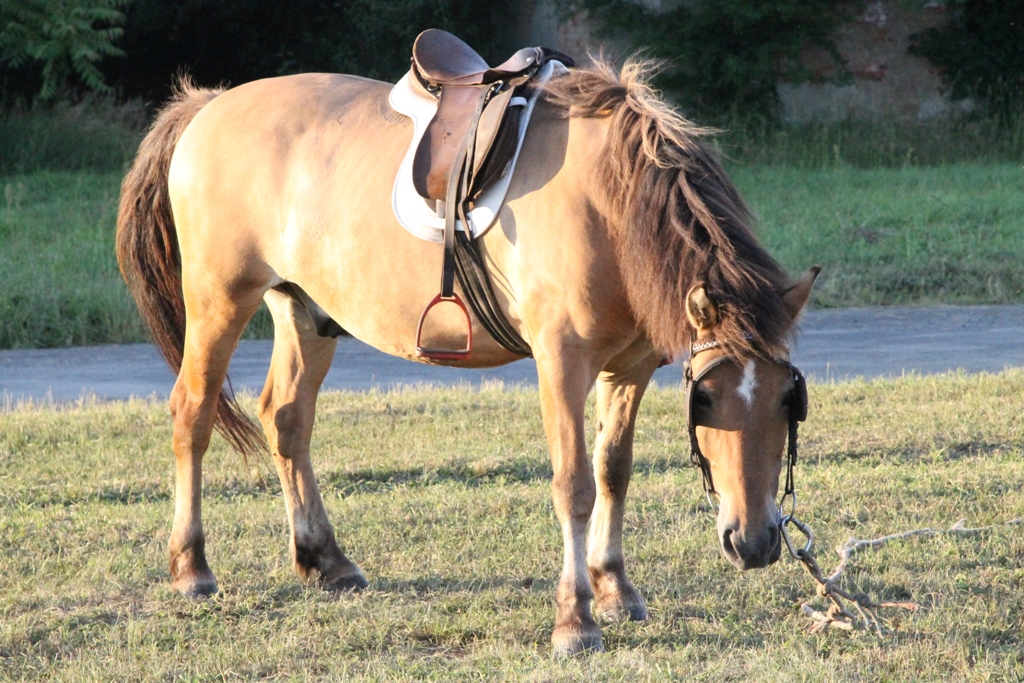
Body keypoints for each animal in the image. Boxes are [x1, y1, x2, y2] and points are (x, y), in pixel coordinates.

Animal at [116, 58, 819, 656]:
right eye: (706, 398)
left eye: (790, 400)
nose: (756, 542)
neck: (609, 203)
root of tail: (209, 106)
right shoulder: (561, 363)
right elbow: (574, 483)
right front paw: (575, 619)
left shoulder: (629, 369)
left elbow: (613, 471)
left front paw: (615, 589)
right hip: (219, 302)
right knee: (192, 414)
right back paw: (192, 567)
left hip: (305, 312)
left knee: (286, 419)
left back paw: (326, 559)